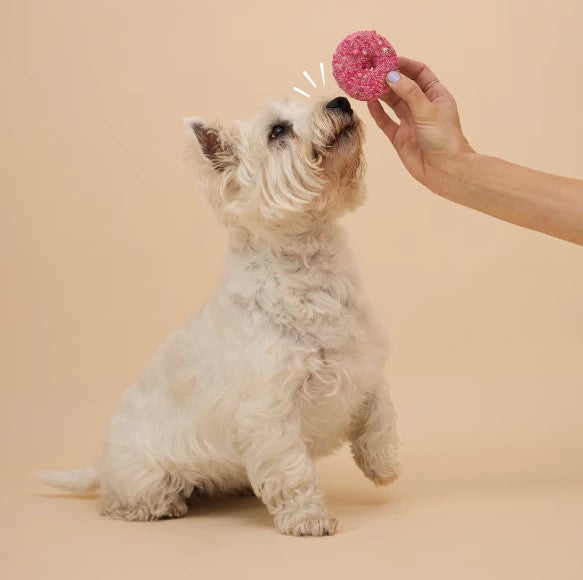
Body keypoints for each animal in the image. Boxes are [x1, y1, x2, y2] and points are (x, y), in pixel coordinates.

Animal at [38, 94, 400, 536]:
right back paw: (159, 506)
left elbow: (380, 415)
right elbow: (293, 468)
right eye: (277, 131)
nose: (341, 101)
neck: (312, 267)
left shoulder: (365, 363)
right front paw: (308, 518)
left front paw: (383, 466)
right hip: (145, 473)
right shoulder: (271, 409)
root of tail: (102, 461)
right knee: (121, 497)